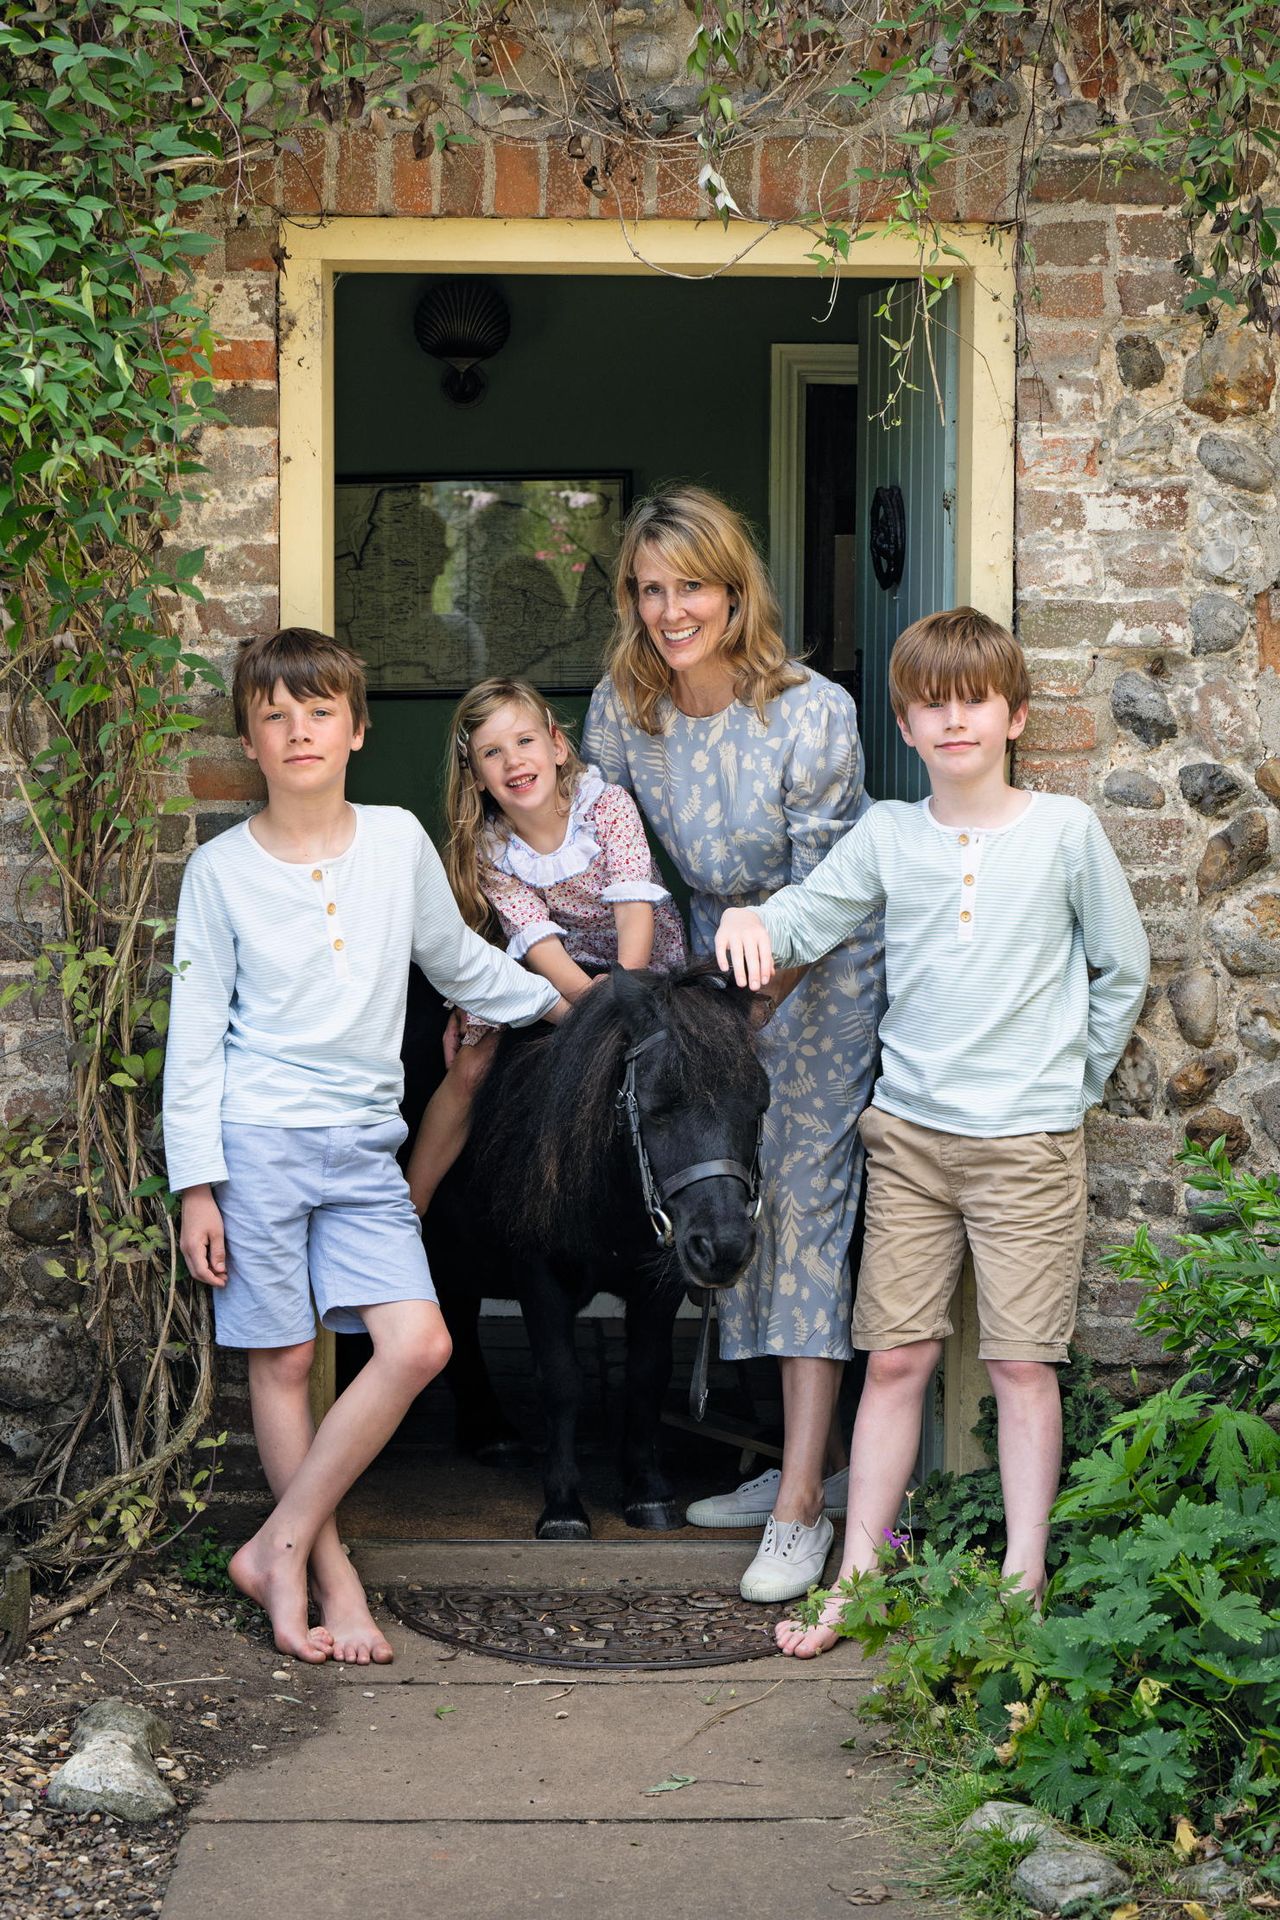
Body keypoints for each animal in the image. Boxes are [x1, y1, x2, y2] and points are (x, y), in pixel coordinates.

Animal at [416, 967, 767, 1536]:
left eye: (759, 1105)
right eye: (657, 1107)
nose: (724, 1246)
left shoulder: (659, 1283)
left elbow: (647, 1372)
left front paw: (646, 1491)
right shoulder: (539, 1275)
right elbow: (561, 1379)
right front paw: (562, 1506)